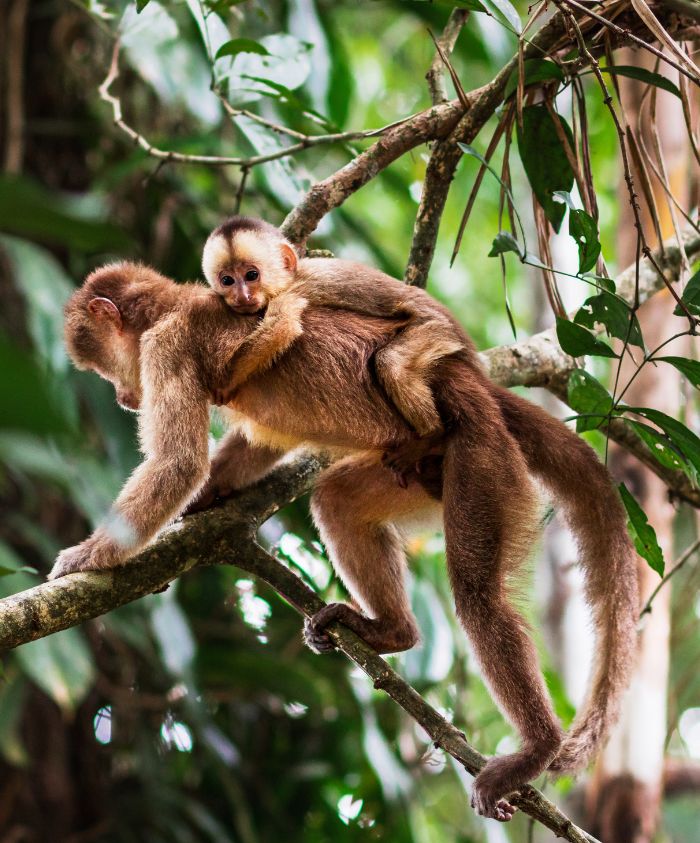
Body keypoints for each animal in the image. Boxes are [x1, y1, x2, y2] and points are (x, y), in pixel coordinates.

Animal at [53, 261, 638, 822]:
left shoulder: (166, 348)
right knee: (336, 500)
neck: (178, 303)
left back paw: (537, 747)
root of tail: (474, 386)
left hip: (482, 453)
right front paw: (201, 504)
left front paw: (89, 555)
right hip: (421, 470)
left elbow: (178, 464)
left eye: (103, 368)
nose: (122, 396)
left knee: (478, 596)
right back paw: (393, 632)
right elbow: (252, 447)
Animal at [201, 216, 465, 471]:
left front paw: (223, 384)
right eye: (227, 280)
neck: (290, 278)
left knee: (391, 362)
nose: (242, 296)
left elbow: (282, 328)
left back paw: (432, 436)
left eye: (252, 275)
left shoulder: (298, 290)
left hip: (436, 332)